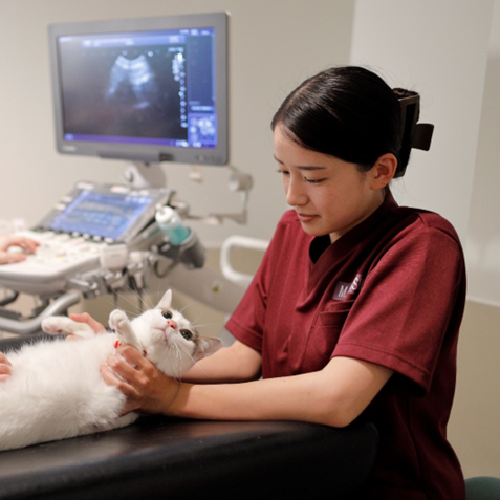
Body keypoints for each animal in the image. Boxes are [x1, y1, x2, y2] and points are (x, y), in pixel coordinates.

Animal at [0, 288, 221, 452]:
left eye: (186, 335)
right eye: (166, 313)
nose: (171, 323)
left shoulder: (112, 389)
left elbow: (132, 346)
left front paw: (121, 321)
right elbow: (87, 330)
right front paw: (53, 322)